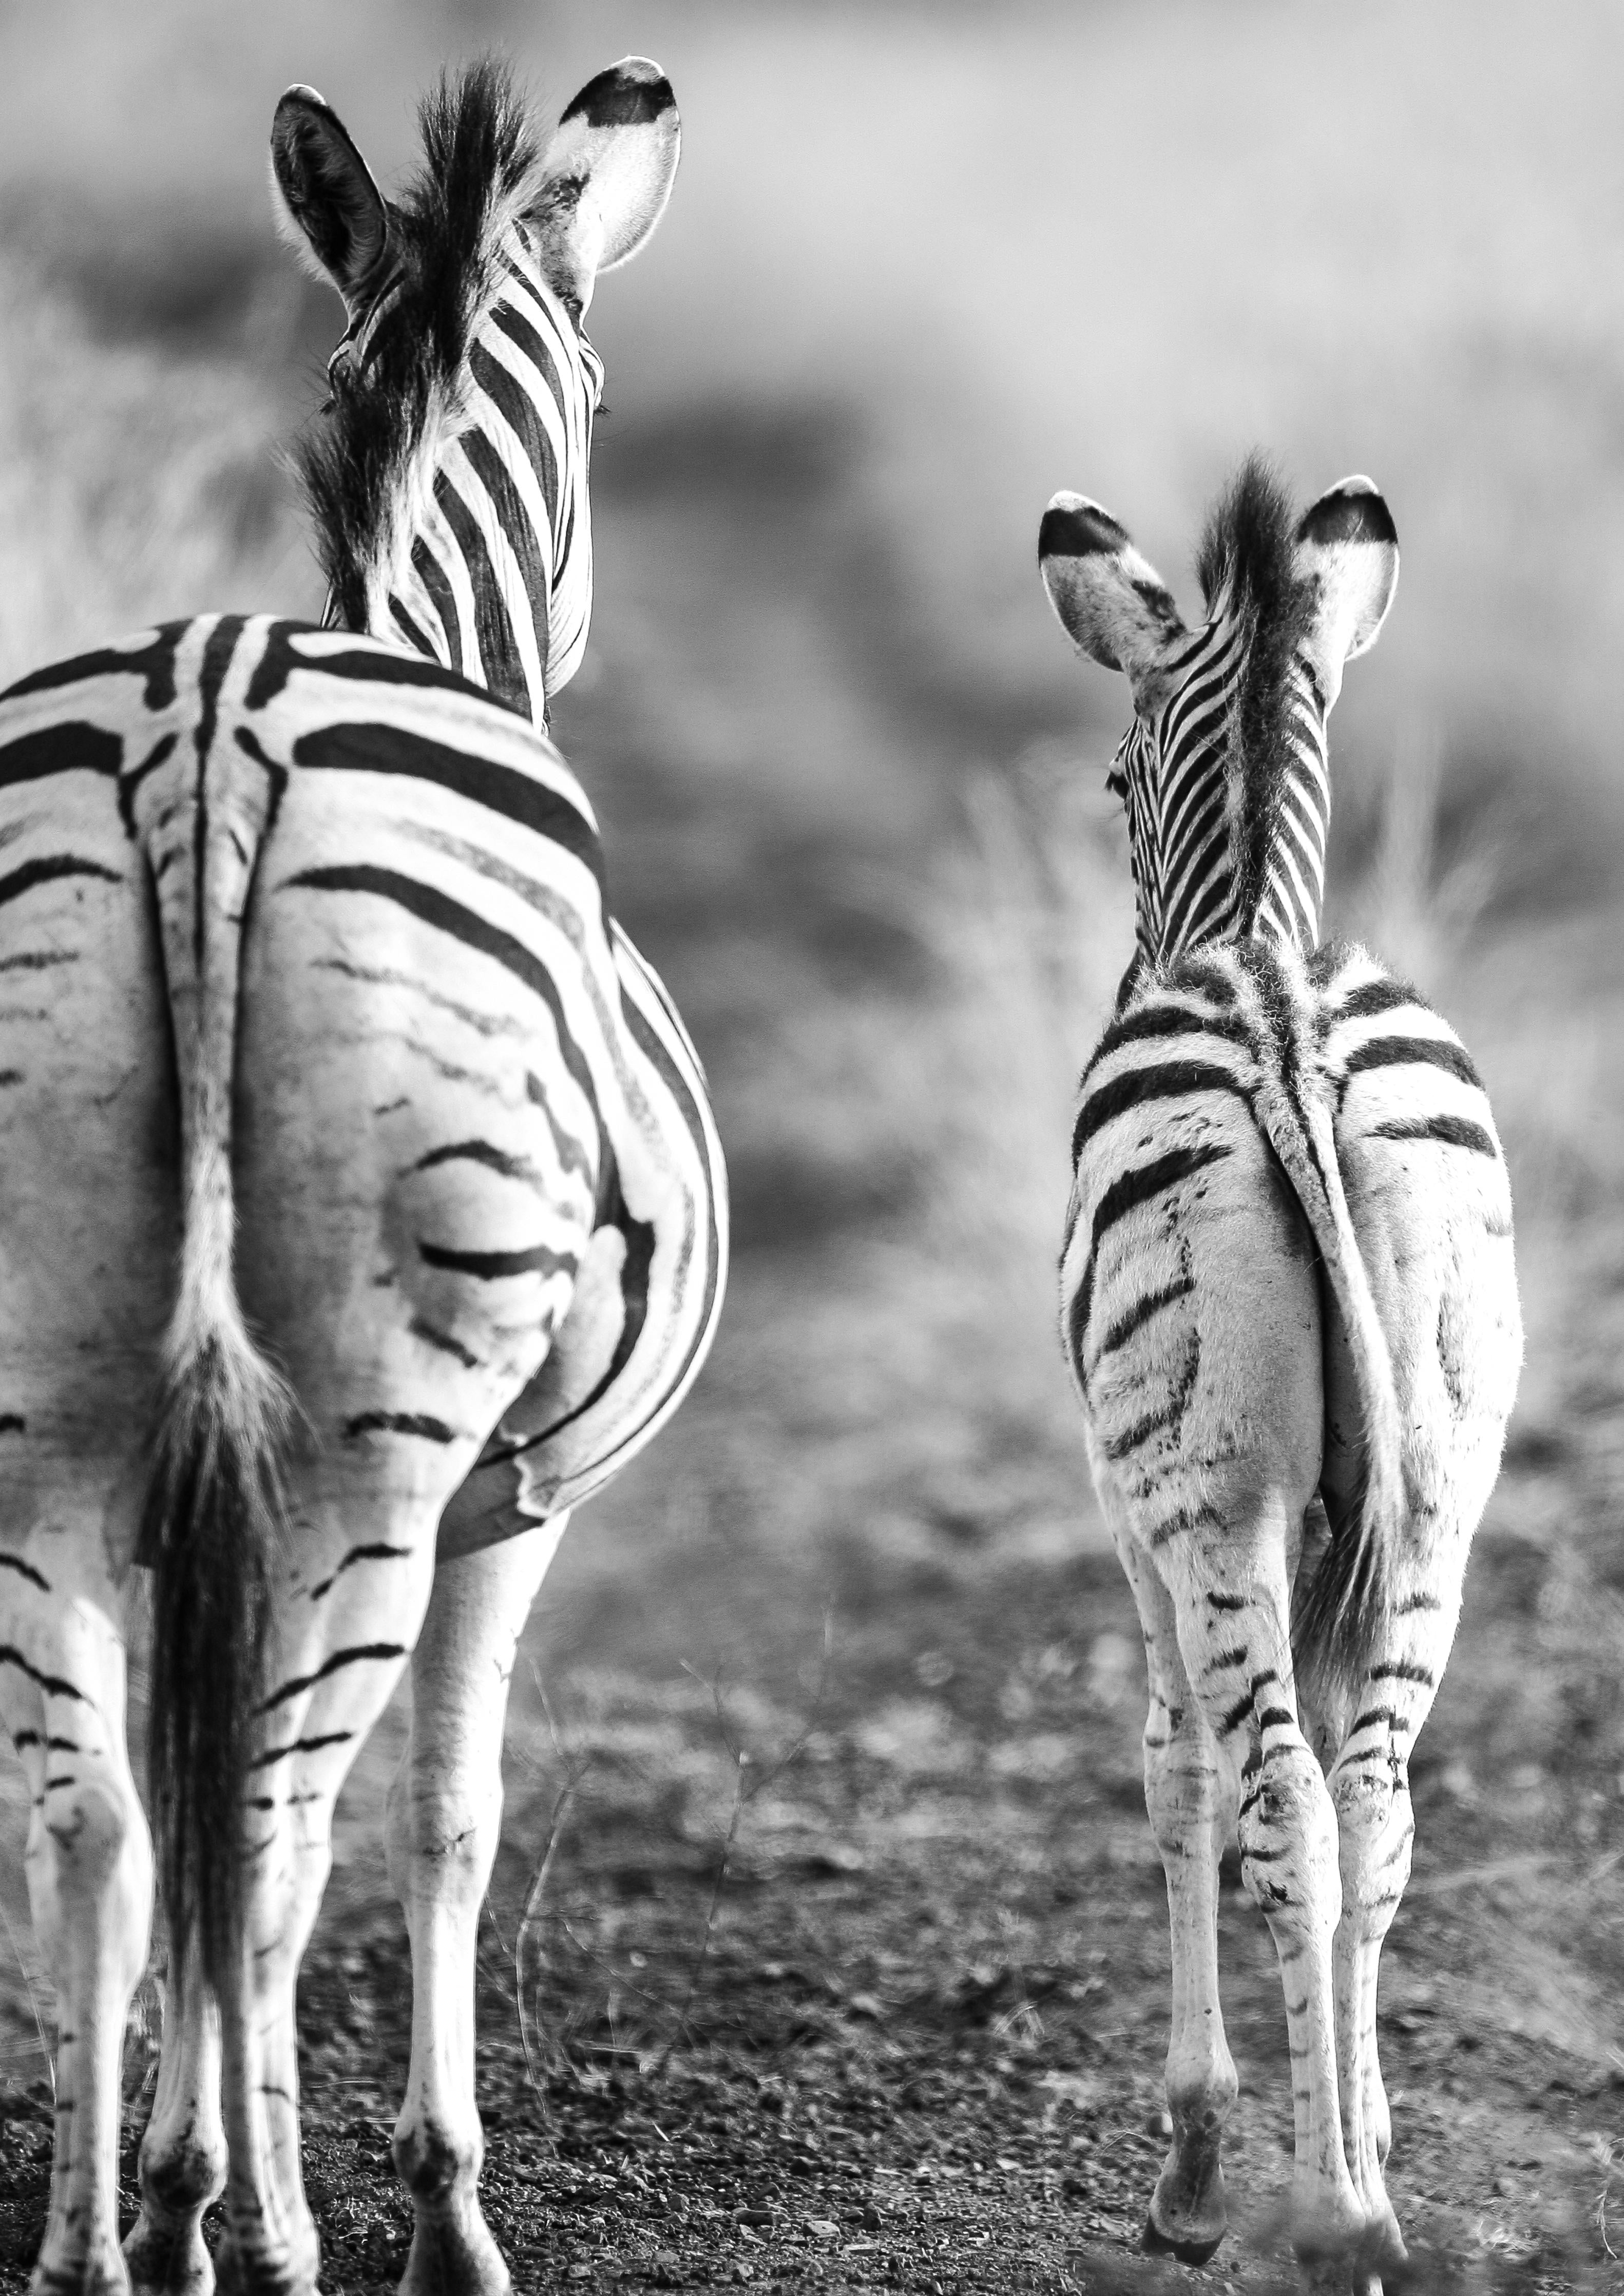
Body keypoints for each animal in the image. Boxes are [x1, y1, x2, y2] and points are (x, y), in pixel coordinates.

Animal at [0, 58, 726, 2296]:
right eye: (601, 389)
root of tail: (212, 721)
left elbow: (161, 1806)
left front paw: (179, 2172)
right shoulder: (522, 1497)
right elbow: (447, 1820)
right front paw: (436, 2202)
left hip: (46, 1401)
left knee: (101, 1816)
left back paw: (103, 2244)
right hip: (380, 1446)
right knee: (284, 1823)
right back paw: (263, 2228)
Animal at [1038, 461, 1521, 2282]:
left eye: (1113, 782)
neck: (1246, 925)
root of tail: (1287, 1036)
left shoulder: (1131, 1508)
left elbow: (1170, 1768)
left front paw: (1190, 2158)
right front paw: (1363, 2119)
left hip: (1212, 1500)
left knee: (1283, 1803)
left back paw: (1318, 2217)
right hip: (1440, 1489)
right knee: (1373, 1805)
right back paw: (1359, 2197)